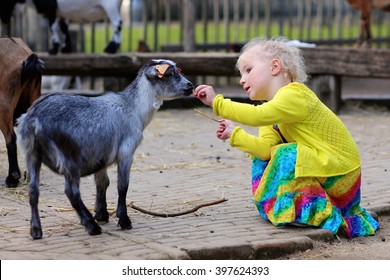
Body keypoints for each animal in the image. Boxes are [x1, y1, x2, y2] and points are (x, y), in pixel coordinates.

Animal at [17, 59, 194, 238]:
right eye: (169, 74)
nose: (191, 86)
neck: (133, 109)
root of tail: (33, 118)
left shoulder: (101, 157)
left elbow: (103, 183)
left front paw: (101, 214)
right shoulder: (126, 152)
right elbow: (122, 186)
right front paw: (123, 220)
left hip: (31, 153)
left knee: (33, 190)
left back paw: (36, 230)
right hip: (69, 157)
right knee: (71, 191)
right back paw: (91, 226)